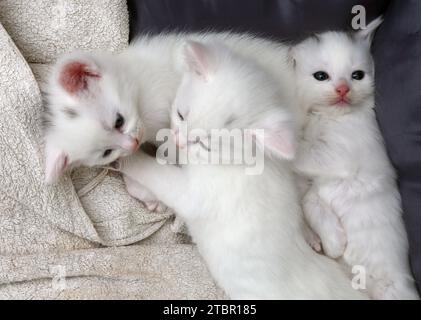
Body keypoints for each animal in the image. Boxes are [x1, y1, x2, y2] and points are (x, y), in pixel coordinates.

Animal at [114, 40, 364, 300]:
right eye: (181, 115)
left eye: (205, 144)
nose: (180, 142)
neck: (240, 160)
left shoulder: (197, 194)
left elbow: (159, 176)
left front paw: (130, 159)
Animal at [290, 18, 418, 300]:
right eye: (321, 76)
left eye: (357, 75)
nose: (343, 89)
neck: (331, 117)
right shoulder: (317, 180)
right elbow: (309, 199)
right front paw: (334, 243)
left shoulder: (337, 157)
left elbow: (300, 161)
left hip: (394, 288)